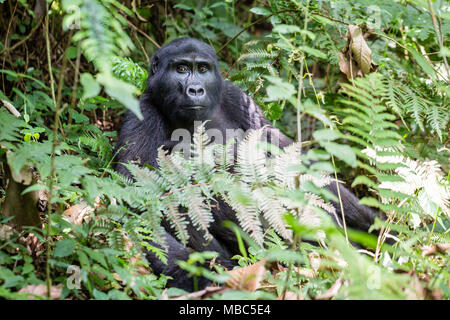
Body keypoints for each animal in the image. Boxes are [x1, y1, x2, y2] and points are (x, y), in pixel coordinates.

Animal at [115, 37, 380, 290]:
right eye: (181, 68)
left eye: (202, 69)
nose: (196, 89)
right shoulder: (142, 112)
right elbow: (136, 205)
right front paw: (197, 279)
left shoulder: (237, 97)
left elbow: (288, 156)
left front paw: (375, 226)